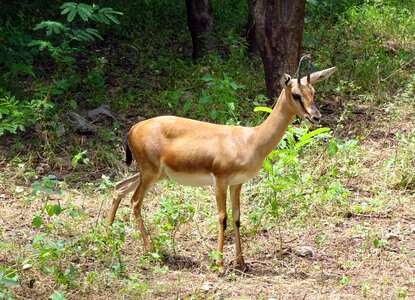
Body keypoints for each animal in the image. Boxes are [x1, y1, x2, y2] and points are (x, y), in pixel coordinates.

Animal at [107, 55, 334, 270]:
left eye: (313, 92)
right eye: (296, 94)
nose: (316, 117)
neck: (250, 140)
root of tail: (133, 129)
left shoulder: (237, 183)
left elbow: (237, 218)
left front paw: (241, 263)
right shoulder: (220, 180)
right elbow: (222, 217)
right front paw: (220, 264)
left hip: (153, 174)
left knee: (119, 187)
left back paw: (108, 236)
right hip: (150, 173)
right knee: (135, 201)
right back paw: (149, 249)